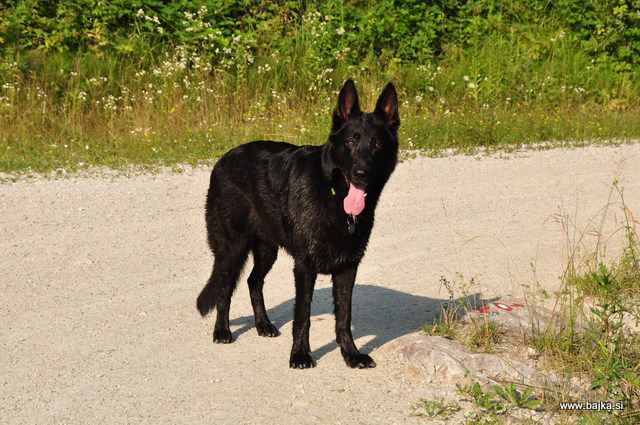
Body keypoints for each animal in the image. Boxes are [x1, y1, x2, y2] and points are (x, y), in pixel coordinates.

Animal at [196, 79, 400, 368]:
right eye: (351, 141)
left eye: (377, 145)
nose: (360, 174)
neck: (333, 194)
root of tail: (222, 159)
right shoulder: (305, 267)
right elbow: (302, 316)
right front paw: (301, 354)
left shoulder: (348, 268)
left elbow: (344, 317)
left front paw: (350, 354)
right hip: (232, 250)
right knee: (225, 286)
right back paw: (222, 330)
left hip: (266, 251)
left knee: (253, 282)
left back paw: (263, 324)